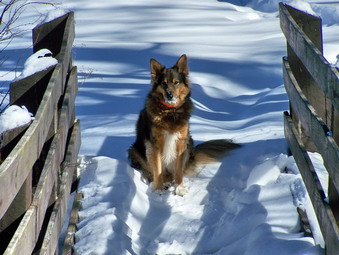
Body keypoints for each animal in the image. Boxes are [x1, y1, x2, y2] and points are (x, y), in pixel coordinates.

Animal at [129, 54, 240, 195]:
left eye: (176, 82)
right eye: (164, 83)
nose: (170, 95)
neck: (170, 112)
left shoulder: (181, 142)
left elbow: (178, 171)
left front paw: (179, 188)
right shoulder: (154, 145)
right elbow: (157, 170)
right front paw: (159, 189)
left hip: (189, 143)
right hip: (135, 150)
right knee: (149, 171)